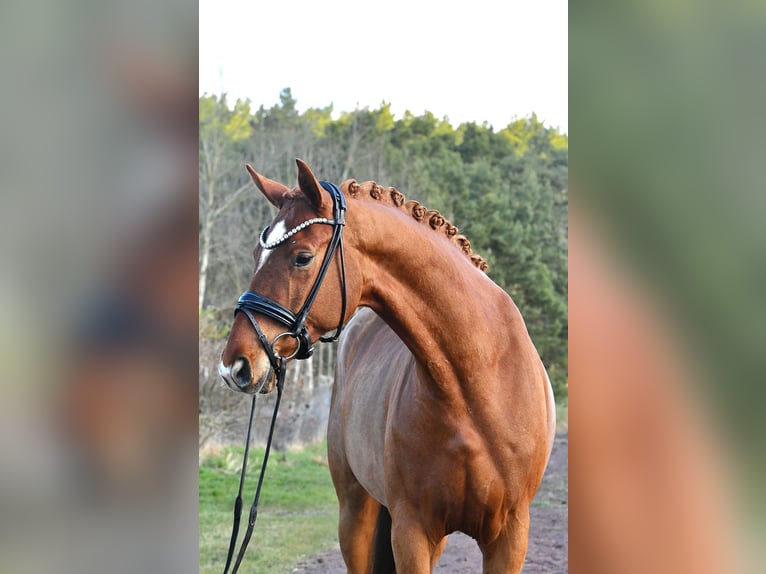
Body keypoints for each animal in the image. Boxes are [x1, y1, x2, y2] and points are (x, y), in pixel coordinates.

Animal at [219, 159, 556, 573]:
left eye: (302, 257)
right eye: (256, 254)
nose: (235, 366)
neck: (477, 381)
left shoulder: (509, 537)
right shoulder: (411, 531)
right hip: (355, 512)